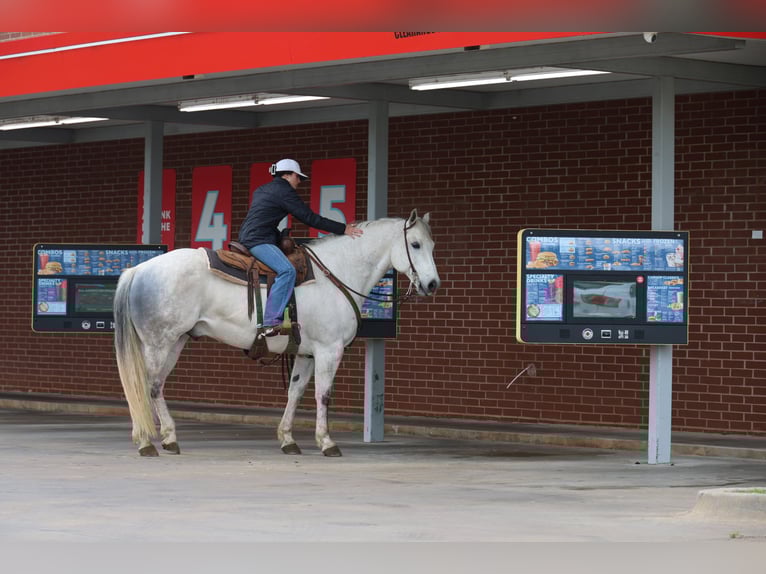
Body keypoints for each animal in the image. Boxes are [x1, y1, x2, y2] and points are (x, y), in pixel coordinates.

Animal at [113, 209, 440, 457]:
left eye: (432, 245)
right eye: (415, 244)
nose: (432, 284)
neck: (336, 273)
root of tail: (139, 270)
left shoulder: (307, 353)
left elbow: (295, 392)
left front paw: (288, 439)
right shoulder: (329, 350)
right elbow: (323, 395)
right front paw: (327, 442)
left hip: (175, 341)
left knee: (155, 387)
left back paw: (168, 438)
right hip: (158, 343)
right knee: (144, 386)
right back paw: (146, 441)